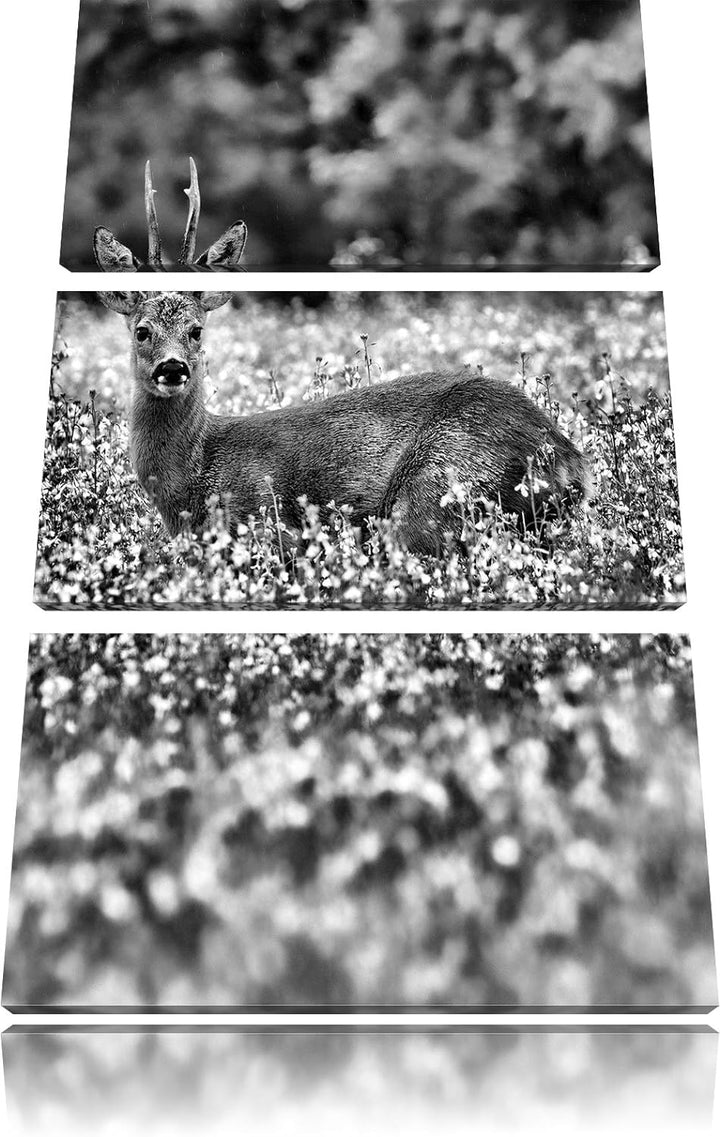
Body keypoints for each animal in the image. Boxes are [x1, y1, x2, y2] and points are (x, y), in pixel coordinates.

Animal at [95, 290, 590, 554]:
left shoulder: (267, 522)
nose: (172, 367)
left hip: (439, 488)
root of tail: (571, 460)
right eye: (141, 330)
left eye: (196, 330)